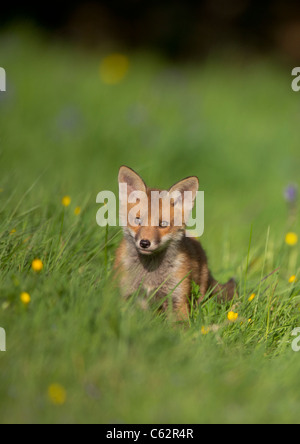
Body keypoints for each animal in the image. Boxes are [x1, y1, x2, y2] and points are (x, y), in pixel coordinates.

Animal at [113, 166, 236, 320]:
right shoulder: (125, 294)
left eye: (163, 224)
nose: (145, 243)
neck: (150, 274)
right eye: (137, 220)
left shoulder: (177, 298)